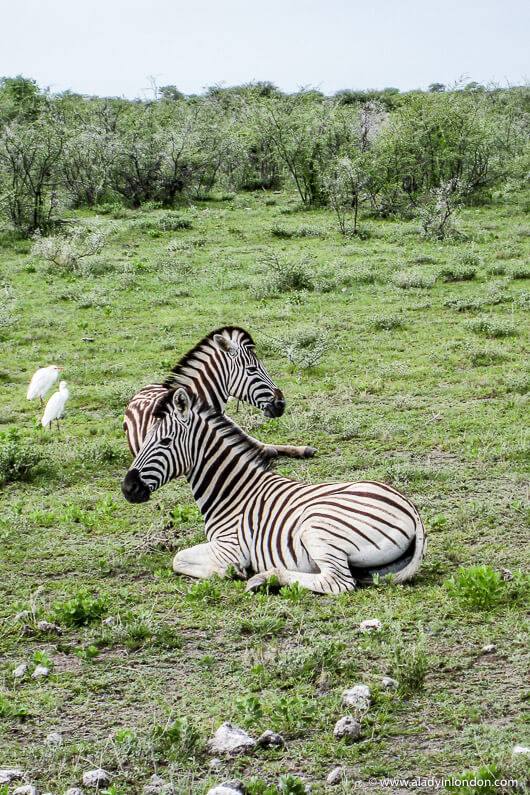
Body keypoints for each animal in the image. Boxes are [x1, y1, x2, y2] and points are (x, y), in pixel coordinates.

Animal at [121, 388, 426, 594]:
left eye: (165, 441)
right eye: (144, 438)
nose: (127, 488)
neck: (231, 491)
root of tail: (411, 510)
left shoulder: (229, 547)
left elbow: (178, 559)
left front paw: (232, 572)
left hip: (317, 526)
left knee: (337, 582)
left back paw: (265, 578)